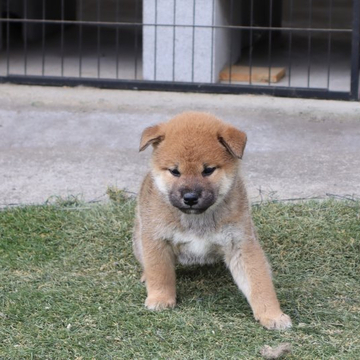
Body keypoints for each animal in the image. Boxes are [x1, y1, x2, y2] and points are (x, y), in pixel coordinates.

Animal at [133, 112, 292, 330]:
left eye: (208, 170)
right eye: (175, 171)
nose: (190, 197)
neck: (197, 219)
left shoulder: (241, 243)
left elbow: (259, 282)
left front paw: (272, 314)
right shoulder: (156, 239)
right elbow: (159, 272)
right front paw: (160, 298)